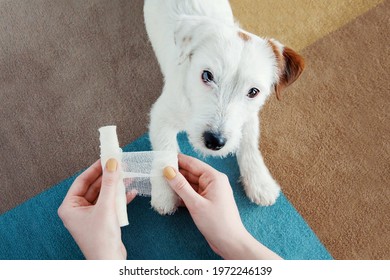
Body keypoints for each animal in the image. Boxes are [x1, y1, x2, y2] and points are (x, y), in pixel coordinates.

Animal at [143, 0, 304, 214]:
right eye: (207, 75)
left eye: (253, 91)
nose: (214, 141)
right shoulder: (161, 115)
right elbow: (165, 152)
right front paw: (165, 192)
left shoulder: (249, 117)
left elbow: (249, 144)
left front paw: (259, 182)